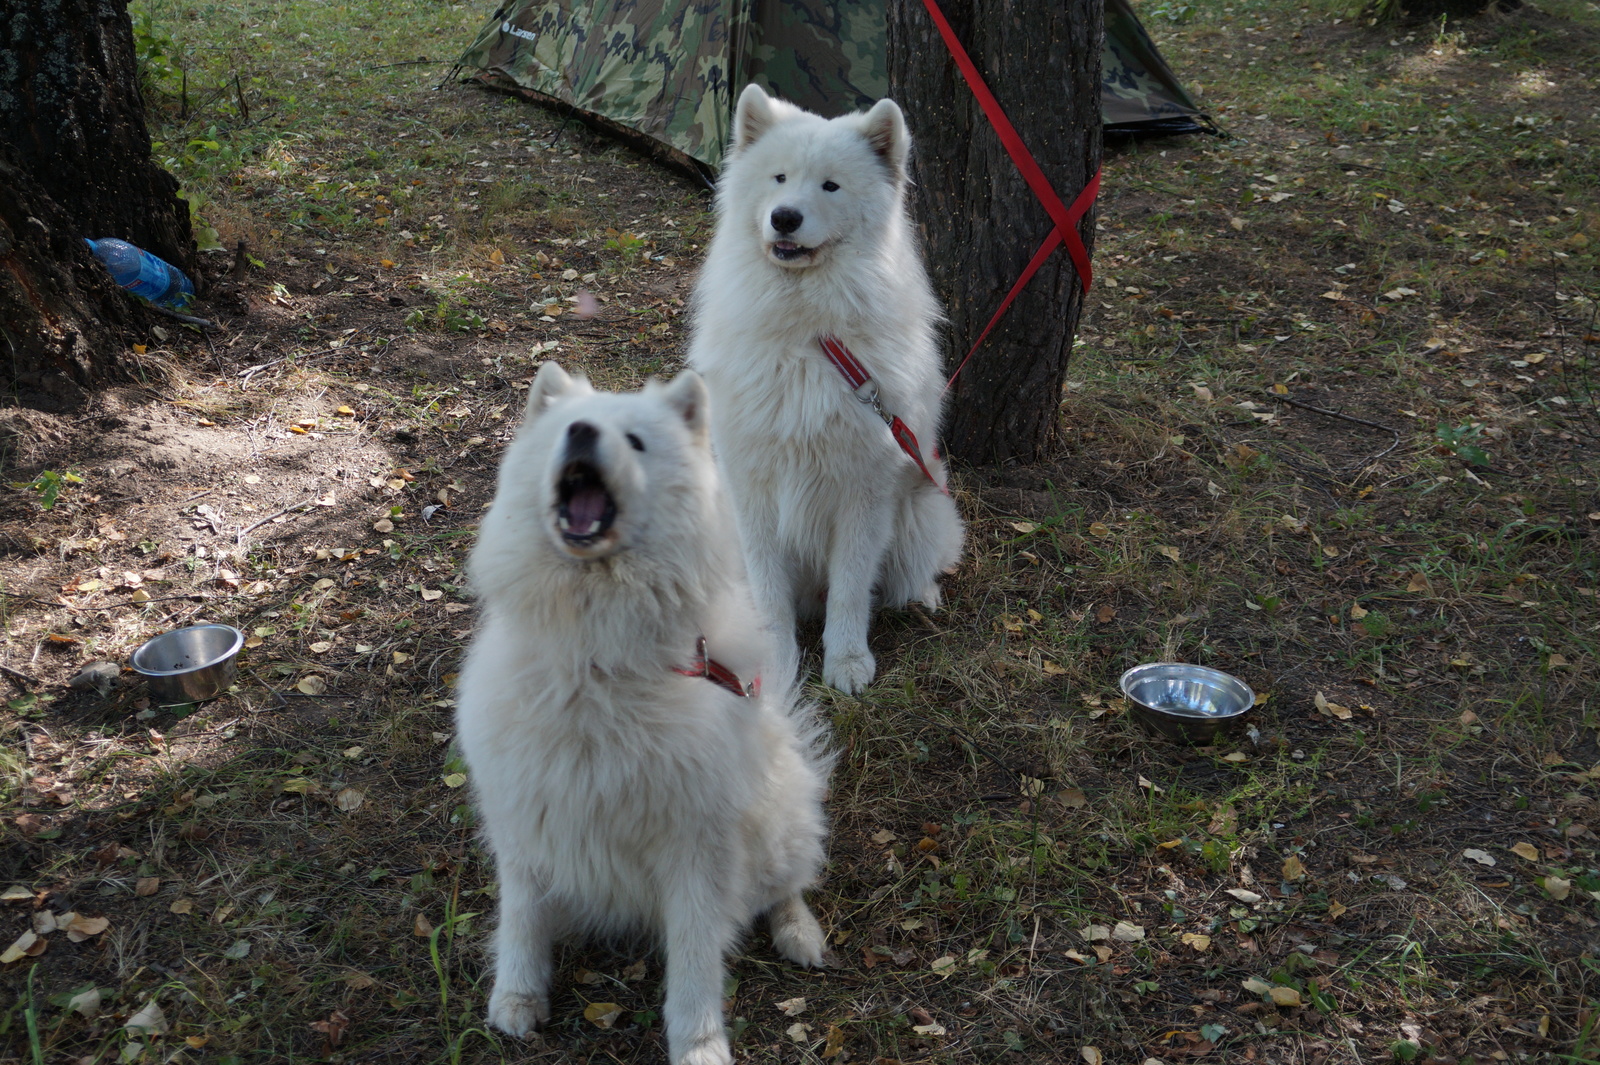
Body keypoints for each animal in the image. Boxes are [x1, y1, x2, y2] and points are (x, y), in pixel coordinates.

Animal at [451, 362, 825, 1061]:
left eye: (637, 441)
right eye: (566, 429)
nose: (580, 432)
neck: (599, 662)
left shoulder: (697, 845)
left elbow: (696, 962)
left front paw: (700, 1044)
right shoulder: (524, 817)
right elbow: (521, 919)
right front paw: (516, 998)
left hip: (774, 824)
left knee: (785, 886)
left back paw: (801, 934)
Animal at [688, 85, 960, 697]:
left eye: (830, 186)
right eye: (779, 178)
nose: (784, 217)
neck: (808, 334)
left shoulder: (864, 493)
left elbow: (851, 589)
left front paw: (848, 662)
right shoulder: (753, 492)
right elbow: (769, 597)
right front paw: (774, 666)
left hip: (920, 506)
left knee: (911, 570)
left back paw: (923, 595)